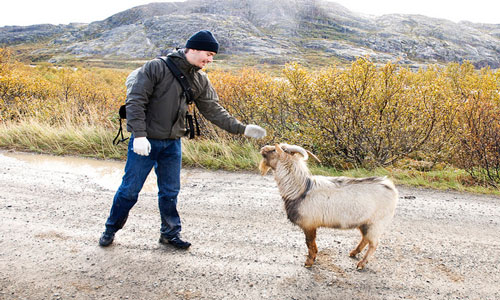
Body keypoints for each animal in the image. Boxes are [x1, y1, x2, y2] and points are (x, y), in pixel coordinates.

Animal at [258, 143, 398, 270]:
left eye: (274, 150)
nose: (262, 148)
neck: (300, 189)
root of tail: (391, 187)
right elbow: (311, 244)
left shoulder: (309, 224)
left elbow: (310, 243)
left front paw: (309, 262)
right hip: (365, 223)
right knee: (365, 239)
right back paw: (353, 253)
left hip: (375, 224)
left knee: (373, 244)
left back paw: (361, 264)